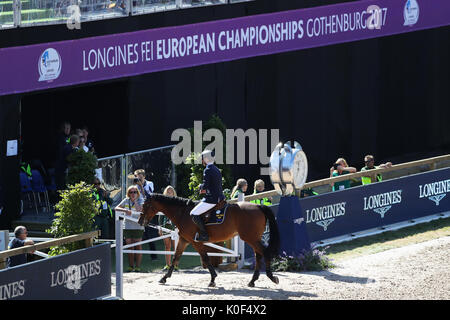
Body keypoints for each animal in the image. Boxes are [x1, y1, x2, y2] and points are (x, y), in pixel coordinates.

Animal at [137, 192, 280, 288]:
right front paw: (164, 278)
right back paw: (253, 281)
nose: (140, 221)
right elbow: (175, 258)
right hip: (253, 238)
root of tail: (258, 207)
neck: (183, 213)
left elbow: (205, 258)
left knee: (264, 253)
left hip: (250, 237)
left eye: (145, 205)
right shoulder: (184, 240)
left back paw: (271, 277)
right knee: (258, 255)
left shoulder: (195, 242)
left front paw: (212, 279)